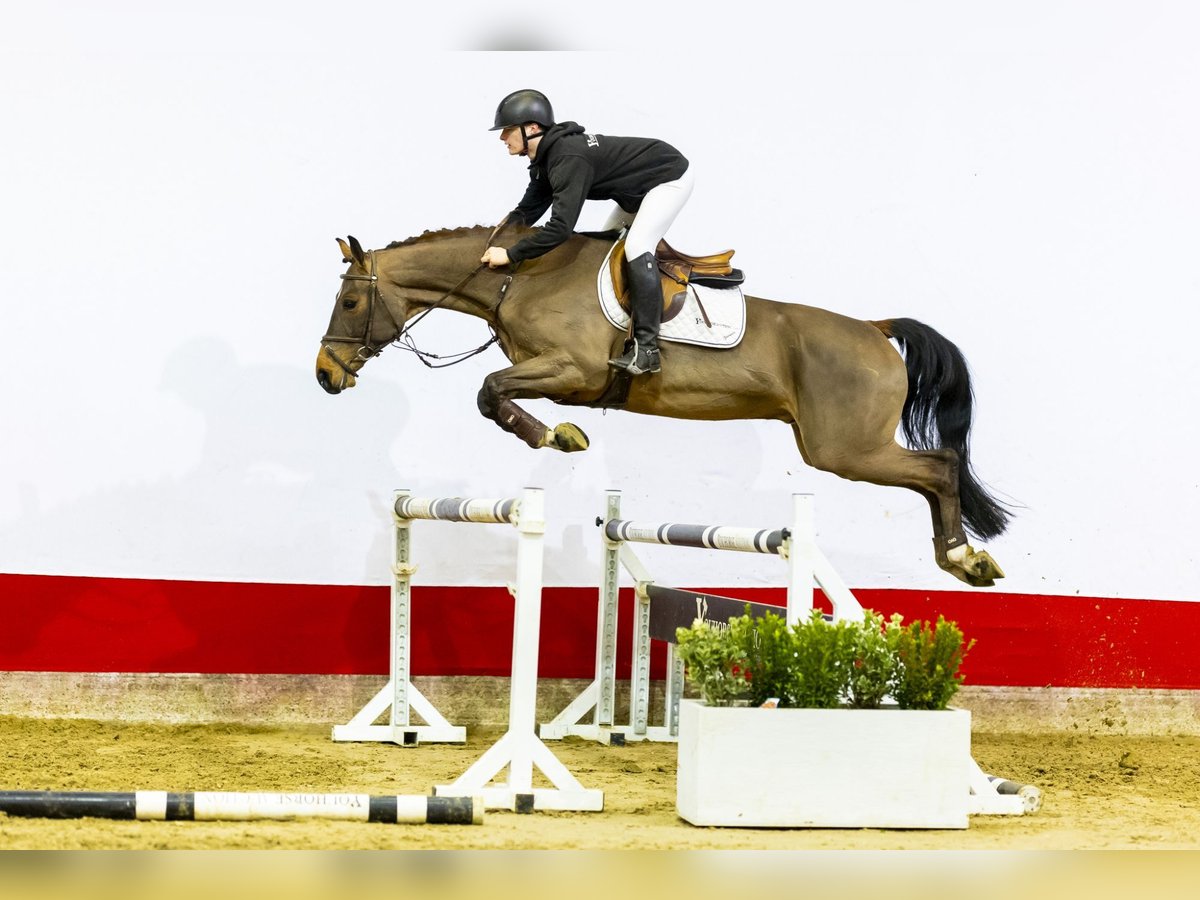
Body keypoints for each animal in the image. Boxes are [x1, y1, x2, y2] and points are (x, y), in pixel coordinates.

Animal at [314, 226, 1008, 585]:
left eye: (349, 302)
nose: (325, 375)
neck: (517, 278)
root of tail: (872, 327)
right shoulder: (555, 374)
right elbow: (493, 393)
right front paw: (559, 435)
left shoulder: (574, 370)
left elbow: (489, 390)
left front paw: (559, 436)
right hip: (840, 447)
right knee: (934, 472)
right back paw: (962, 557)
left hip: (845, 449)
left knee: (940, 466)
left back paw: (964, 557)